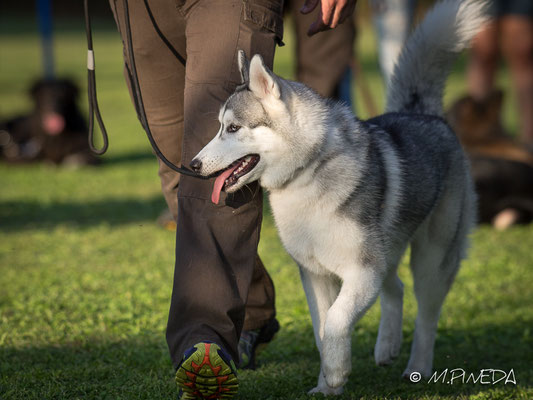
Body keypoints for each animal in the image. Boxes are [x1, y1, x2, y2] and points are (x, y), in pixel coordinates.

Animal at [190, 0, 486, 394]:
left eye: (233, 128)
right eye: (220, 127)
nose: (192, 165)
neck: (306, 174)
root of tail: (421, 113)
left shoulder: (362, 272)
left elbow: (335, 320)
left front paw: (335, 373)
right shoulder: (316, 274)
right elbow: (321, 329)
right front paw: (326, 385)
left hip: (433, 259)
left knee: (426, 315)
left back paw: (418, 368)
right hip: (388, 251)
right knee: (396, 287)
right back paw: (386, 347)